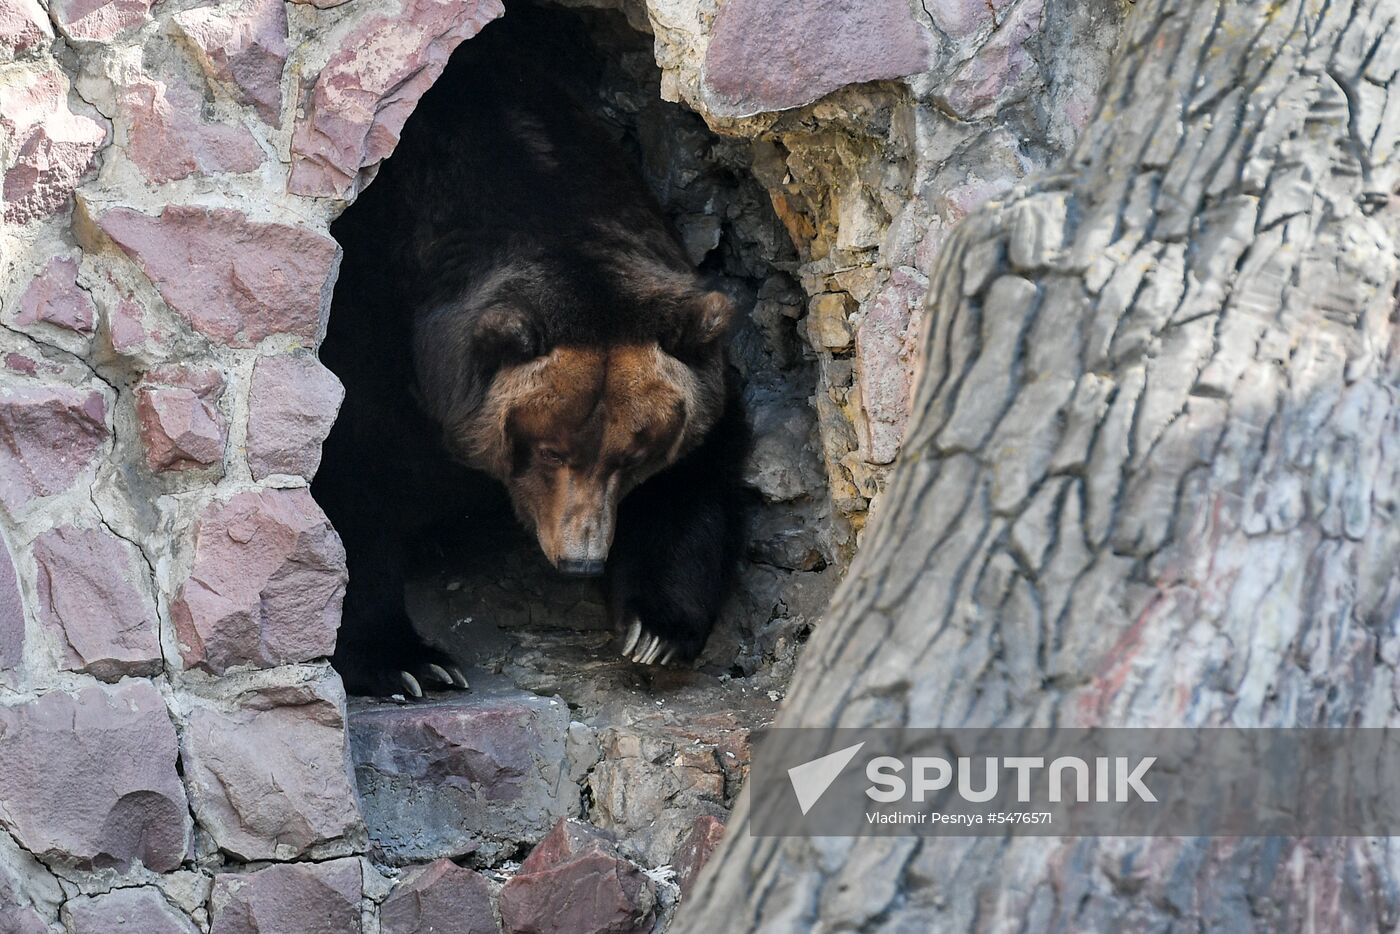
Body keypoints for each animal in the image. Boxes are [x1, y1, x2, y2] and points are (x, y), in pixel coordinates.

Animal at [312, 21, 750, 697]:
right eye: (548, 449)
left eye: (635, 453)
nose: (581, 558)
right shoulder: (372, 325)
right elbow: (353, 480)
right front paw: (407, 661)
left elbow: (699, 465)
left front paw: (656, 628)